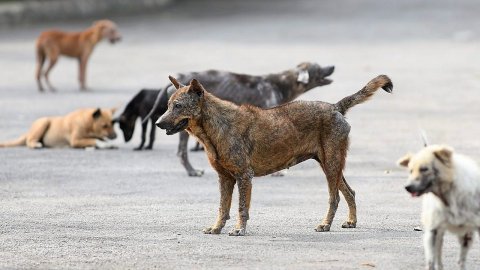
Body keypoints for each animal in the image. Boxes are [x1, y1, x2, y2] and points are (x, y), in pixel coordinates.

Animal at [158, 75, 394, 235]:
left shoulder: (244, 177)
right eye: (168, 105)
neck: (216, 126)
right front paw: (216, 228)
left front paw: (239, 229)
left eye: (178, 106)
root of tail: (335, 107)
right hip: (331, 166)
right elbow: (222, 208)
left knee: (334, 198)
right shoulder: (225, 178)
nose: (158, 123)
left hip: (331, 165)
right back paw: (351, 221)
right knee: (350, 192)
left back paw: (325, 224)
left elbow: (241, 208)